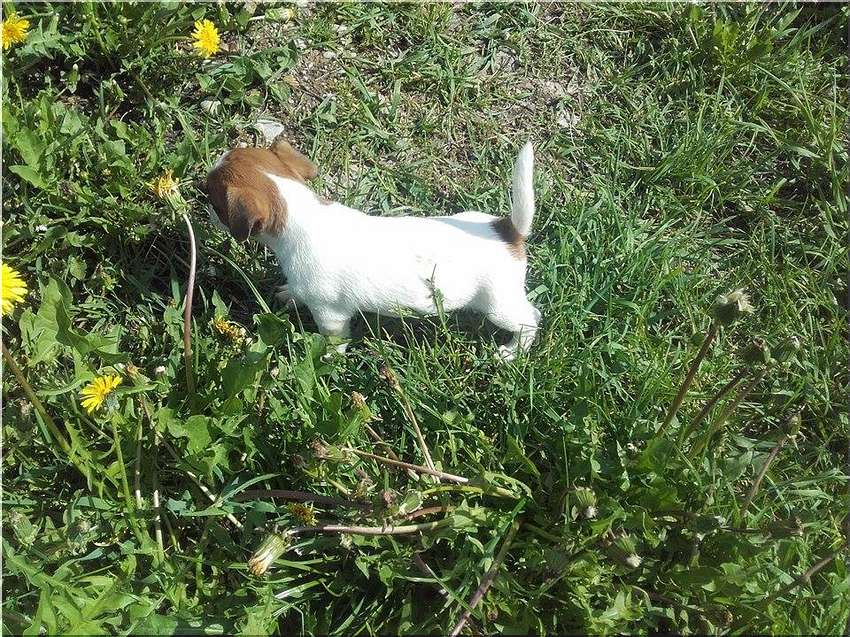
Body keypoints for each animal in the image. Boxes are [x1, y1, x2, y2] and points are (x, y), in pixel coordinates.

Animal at [206, 139, 540, 361]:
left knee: (530, 321)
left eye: (212, 200)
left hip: (497, 305)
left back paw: (511, 353)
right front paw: (289, 294)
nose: (205, 212)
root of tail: (507, 230)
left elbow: (334, 340)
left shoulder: (331, 315)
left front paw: (328, 360)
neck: (299, 212)